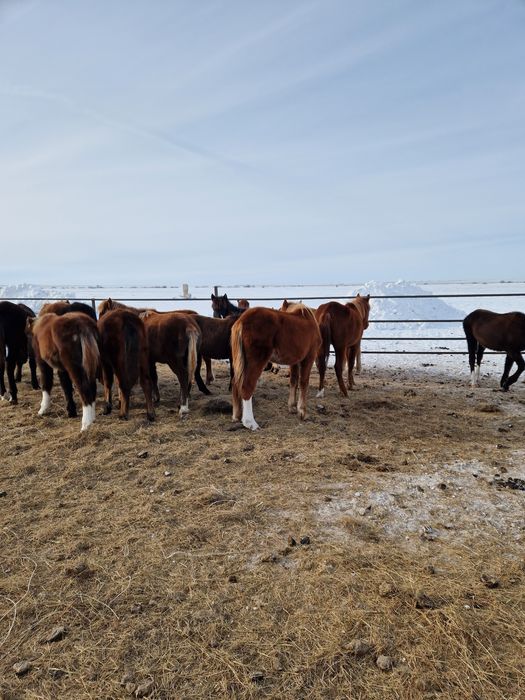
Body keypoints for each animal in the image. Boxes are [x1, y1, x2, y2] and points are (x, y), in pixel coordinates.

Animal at [231, 300, 322, 430]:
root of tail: (242, 320)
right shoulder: (309, 357)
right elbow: (304, 382)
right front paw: (302, 412)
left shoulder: (294, 362)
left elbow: (293, 381)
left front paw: (292, 407)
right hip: (256, 362)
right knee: (246, 386)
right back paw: (250, 422)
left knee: (235, 383)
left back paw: (237, 416)